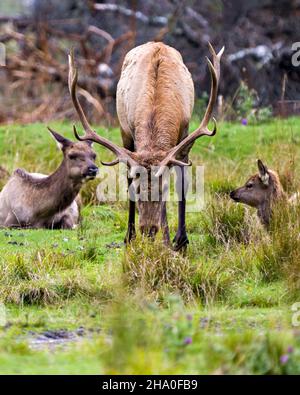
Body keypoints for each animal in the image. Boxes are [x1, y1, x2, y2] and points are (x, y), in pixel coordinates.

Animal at [68, 41, 223, 251]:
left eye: (163, 191)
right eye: (138, 190)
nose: (148, 229)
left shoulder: (184, 136)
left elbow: (182, 185)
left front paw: (179, 241)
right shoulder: (130, 135)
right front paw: (163, 241)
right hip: (125, 133)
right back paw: (129, 236)